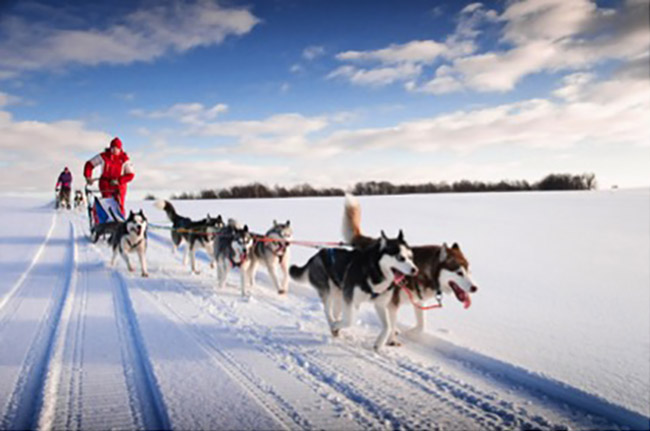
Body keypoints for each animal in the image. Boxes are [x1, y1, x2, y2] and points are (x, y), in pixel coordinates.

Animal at [288, 230, 416, 352]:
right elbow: (350, 320)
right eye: (400, 258)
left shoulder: (379, 304)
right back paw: (333, 323)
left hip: (339, 295)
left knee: (335, 312)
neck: (375, 272)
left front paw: (379, 344)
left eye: (411, 257)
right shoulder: (350, 299)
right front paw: (336, 325)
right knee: (327, 310)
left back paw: (336, 327)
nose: (415, 270)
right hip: (328, 291)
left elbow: (388, 326)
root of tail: (316, 255)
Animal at [340, 194, 476, 340]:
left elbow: (421, 326)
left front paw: (410, 333)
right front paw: (392, 339)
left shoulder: (419, 302)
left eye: (468, 271)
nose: (475, 288)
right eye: (459, 272)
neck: (423, 272)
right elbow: (391, 324)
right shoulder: (392, 304)